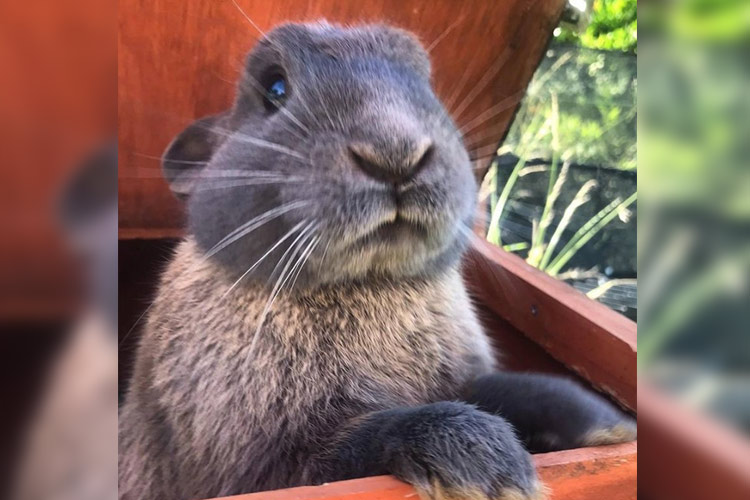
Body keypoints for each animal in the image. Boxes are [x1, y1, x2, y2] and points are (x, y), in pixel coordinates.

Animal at [119, 20, 636, 500]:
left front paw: (610, 425)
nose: (396, 152)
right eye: (275, 89)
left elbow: (505, 390)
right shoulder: (262, 469)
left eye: (426, 82)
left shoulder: (465, 382)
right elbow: (356, 443)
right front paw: (487, 468)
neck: (371, 280)